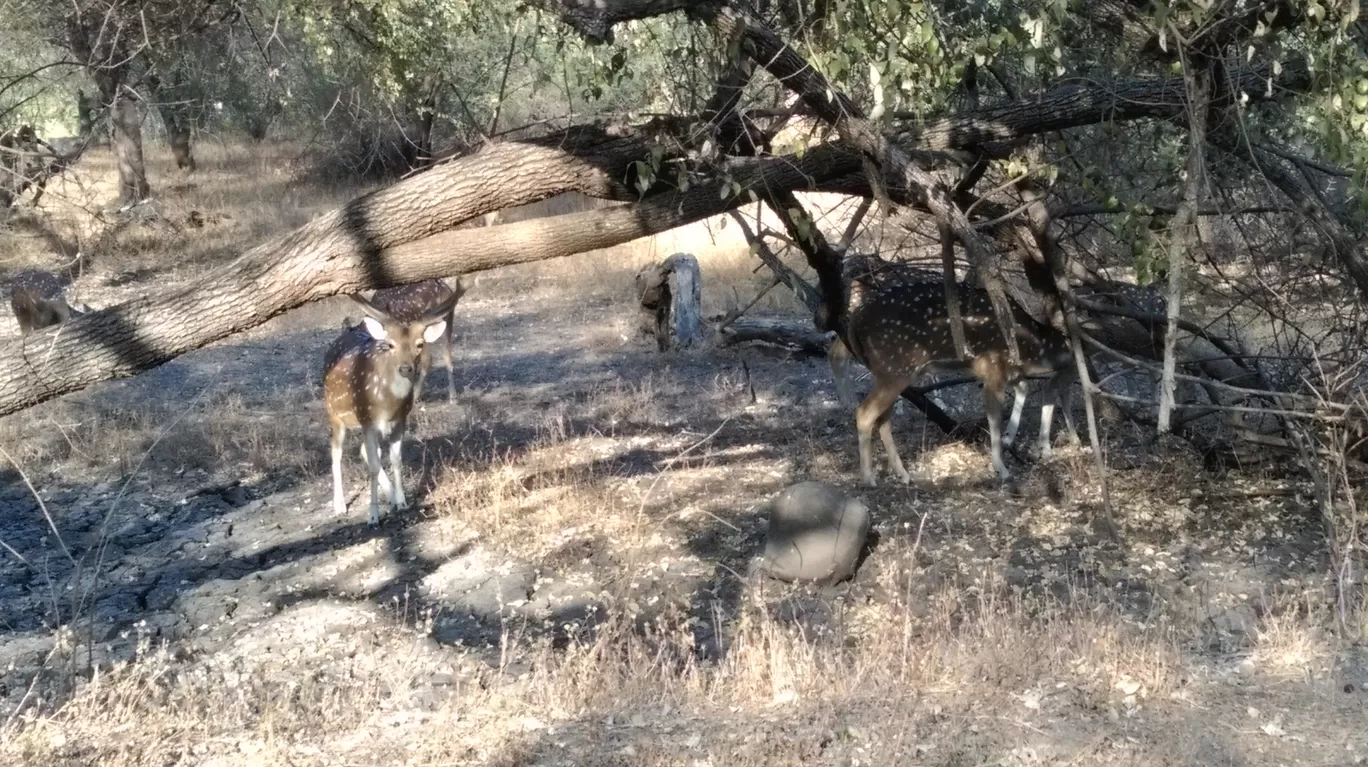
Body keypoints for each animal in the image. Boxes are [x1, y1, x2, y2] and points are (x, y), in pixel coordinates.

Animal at [837, 281, 1083, 483]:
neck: (1031, 347)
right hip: (895, 369)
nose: (1076, 440)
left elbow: (1023, 388)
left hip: (888, 372)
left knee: (883, 418)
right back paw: (868, 478)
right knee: (865, 412)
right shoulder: (992, 369)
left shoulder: (1004, 372)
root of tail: (854, 321)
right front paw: (1002, 468)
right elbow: (994, 418)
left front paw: (1010, 439)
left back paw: (904, 475)